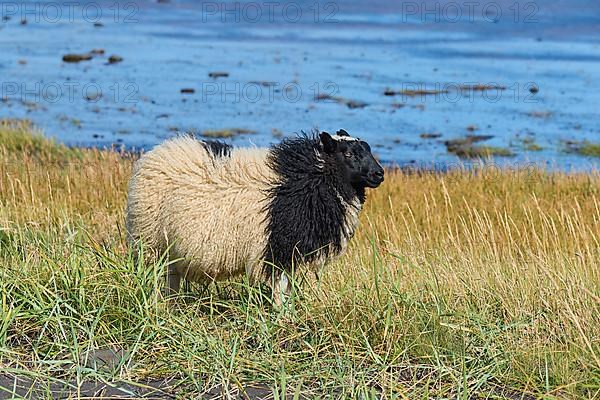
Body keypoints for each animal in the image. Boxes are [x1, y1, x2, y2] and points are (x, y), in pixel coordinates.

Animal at [126, 131, 384, 304]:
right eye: (349, 154)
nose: (379, 174)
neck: (312, 179)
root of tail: (153, 155)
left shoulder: (289, 252)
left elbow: (287, 288)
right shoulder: (277, 248)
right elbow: (280, 290)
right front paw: (281, 319)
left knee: (172, 278)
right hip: (150, 241)